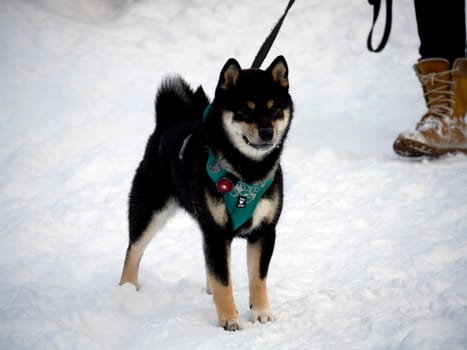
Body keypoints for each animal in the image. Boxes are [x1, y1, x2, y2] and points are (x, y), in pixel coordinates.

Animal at [120, 55, 296, 330]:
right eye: (246, 109)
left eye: (274, 108)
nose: (268, 133)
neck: (246, 173)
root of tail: (168, 123)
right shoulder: (216, 231)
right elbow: (223, 280)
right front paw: (229, 319)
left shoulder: (264, 231)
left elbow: (257, 278)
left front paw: (260, 312)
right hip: (149, 210)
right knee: (133, 252)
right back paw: (125, 292)